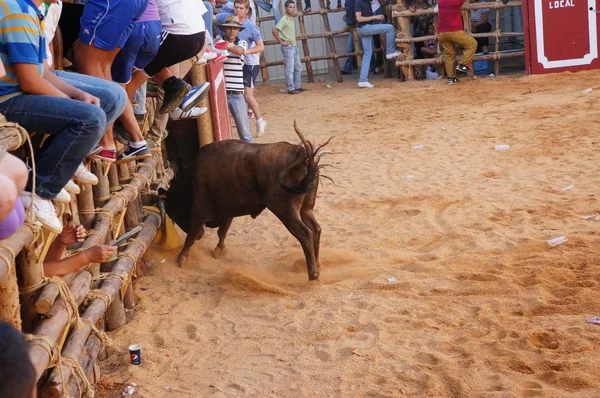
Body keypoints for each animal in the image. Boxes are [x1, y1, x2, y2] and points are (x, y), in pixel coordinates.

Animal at [164, 123, 330, 282]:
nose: (201, 235)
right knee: (316, 229)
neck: (192, 176)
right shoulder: (227, 211)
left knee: (305, 234)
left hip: (285, 210)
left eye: (173, 213)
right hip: (306, 208)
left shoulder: (199, 211)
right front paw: (220, 250)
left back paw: (313, 274)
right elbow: (222, 231)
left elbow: (191, 237)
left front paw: (182, 258)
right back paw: (317, 264)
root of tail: (300, 153)